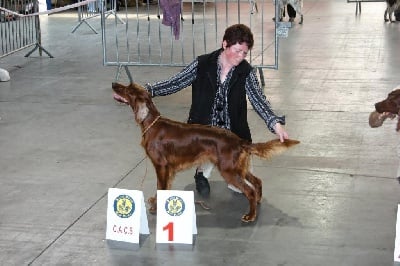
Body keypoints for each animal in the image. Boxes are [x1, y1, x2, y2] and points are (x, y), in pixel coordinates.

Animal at [112, 82, 300, 222]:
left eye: (127, 89)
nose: (114, 84)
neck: (152, 123)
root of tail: (239, 141)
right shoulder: (168, 169)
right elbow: (164, 187)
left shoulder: (161, 166)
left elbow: (161, 187)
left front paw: (155, 207)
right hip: (238, 168)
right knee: (257, 182)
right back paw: (258, 203)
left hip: (228, 170)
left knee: (250, 190)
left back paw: (250, 215)